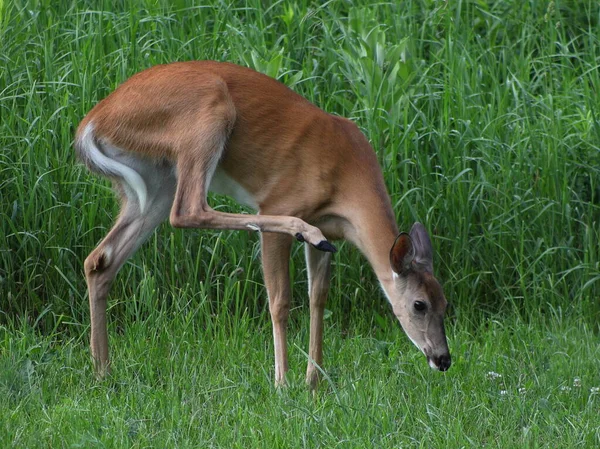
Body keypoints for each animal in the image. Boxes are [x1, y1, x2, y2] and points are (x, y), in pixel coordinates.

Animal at [75, 60, 450, 388]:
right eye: (419, 304)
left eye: (445, 302)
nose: (443, 359)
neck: (345, 177)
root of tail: (92, 122)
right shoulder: (282, 204)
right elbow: (280, 301)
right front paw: (283, 382)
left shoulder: (334, 233)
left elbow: (318, 297)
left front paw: (314, 381)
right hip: (206, 118)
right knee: (189, 210)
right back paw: (301, 229)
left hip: (154, 183)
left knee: (100, 260)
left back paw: (102, 371)